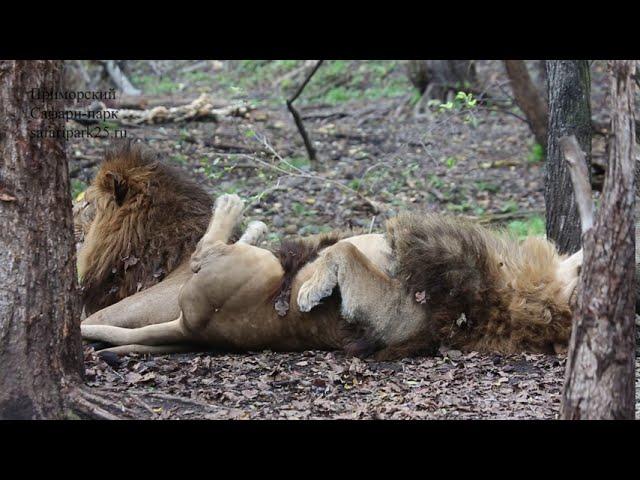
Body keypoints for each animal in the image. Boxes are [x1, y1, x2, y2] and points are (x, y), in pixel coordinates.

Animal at [80, 191, 580, 360]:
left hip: (255, 267)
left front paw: (310, 292)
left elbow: (343, 250)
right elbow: (347, 245)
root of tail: (193, 328)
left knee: (208, 251)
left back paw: (236, 210)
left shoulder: (396, 311)